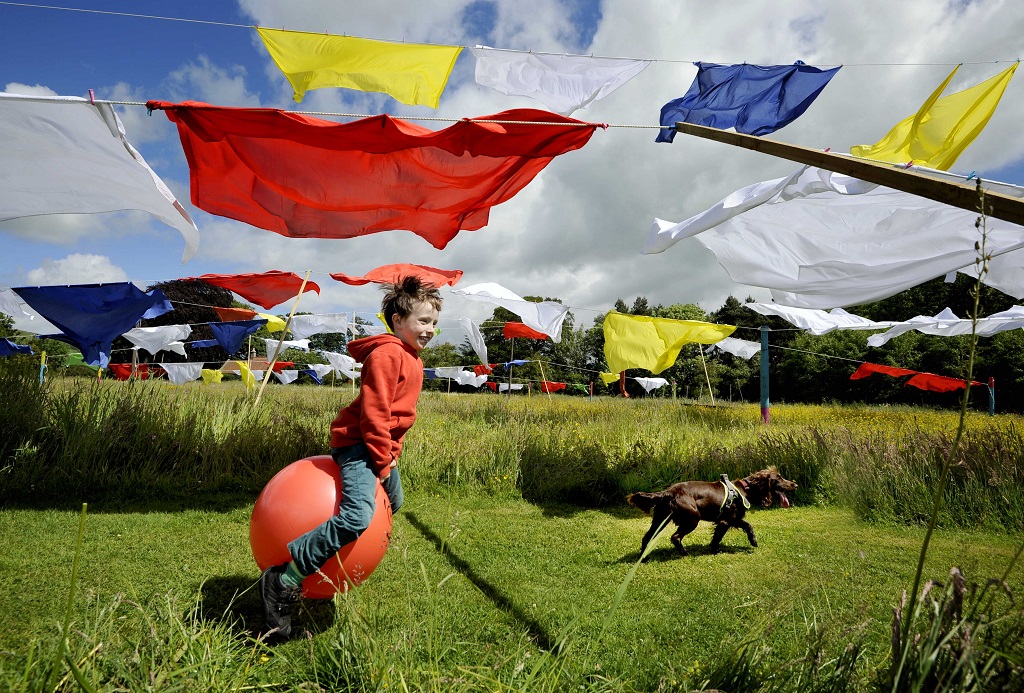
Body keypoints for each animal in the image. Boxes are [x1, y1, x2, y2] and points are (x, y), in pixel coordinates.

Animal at [626, 464, 794, 556]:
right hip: (692, 519)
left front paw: (753, 540)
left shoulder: (733, 519)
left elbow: (748, 525)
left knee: (647, 537)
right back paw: (684, 553)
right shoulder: (725, 521)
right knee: (675, 537)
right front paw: (714, 549)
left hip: (660, 519)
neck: (745, 489)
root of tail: (668, 492)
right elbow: (718, 537)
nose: (795, 484)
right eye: (779, 478)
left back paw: (644, 558)